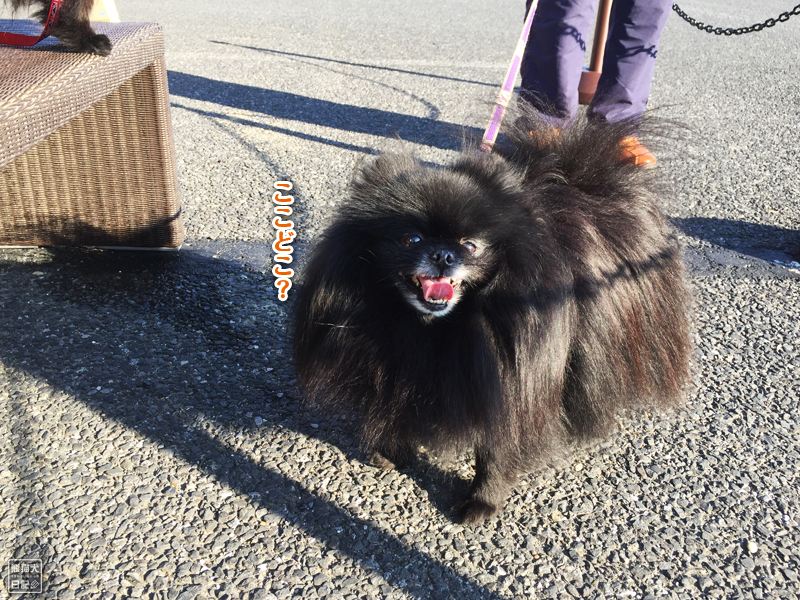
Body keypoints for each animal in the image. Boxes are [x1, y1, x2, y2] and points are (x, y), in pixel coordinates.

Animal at [294, 112, 692, 524]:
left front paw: (483, 500)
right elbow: (398, 403)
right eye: (411, 240)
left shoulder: (511, 378)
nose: (443, 255)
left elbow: (498, 448)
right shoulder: (400, 363)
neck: (438, 327)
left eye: (470, 246)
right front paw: (393, 449)